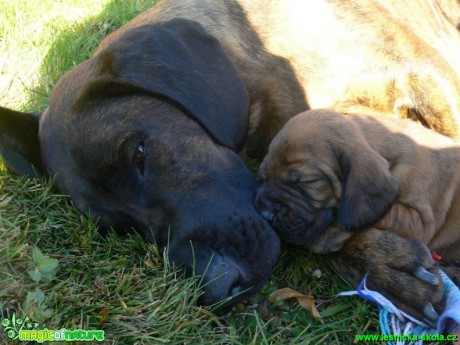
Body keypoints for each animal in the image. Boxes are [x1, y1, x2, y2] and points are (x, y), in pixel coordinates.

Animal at [256, 109, 458, 318]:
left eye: (306, 181)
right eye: (263, 176)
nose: (264, 213)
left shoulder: (420, 221)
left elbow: (378, 214)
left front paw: (329, 235)